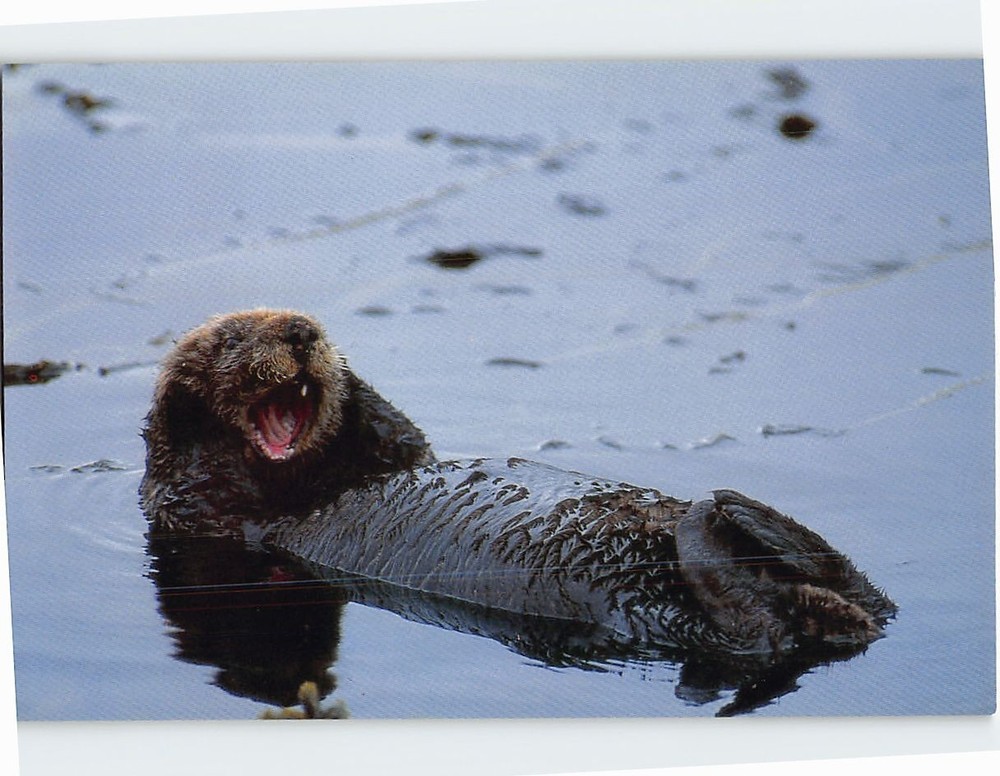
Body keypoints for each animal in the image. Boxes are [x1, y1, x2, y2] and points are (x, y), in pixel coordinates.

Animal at [141, 309, 895, 658]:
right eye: (233, 340)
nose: (300, 330)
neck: (317, 480)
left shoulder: (394, 451)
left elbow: (402, 435)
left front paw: (348, 376)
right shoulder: (205, 514)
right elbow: (191, 474)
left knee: (856, 605)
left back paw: (740, 515)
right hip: (654, 608)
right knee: (755, 629)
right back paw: (716, 519)